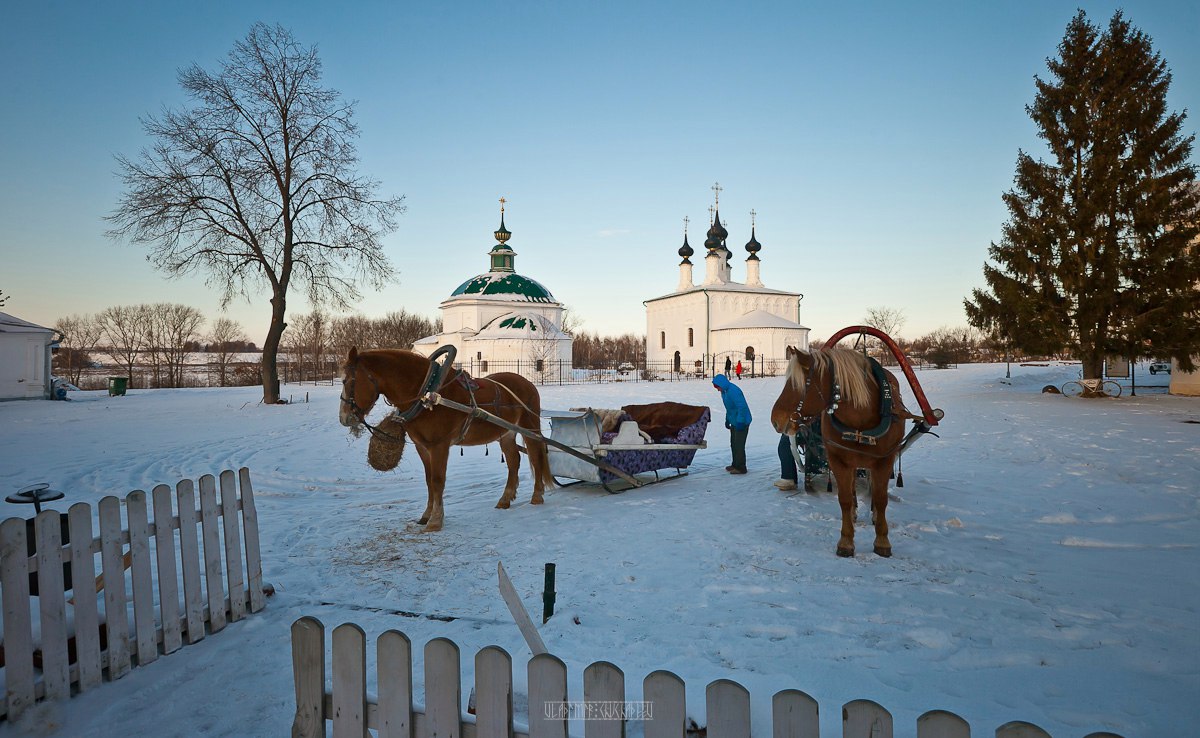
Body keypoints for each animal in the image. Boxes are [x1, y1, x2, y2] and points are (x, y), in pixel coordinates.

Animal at [340, 345, 554, 530]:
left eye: (345, 381)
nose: (344, 418)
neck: (428, 392)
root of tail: (527, 383)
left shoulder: (439, 446)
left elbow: (437, 480)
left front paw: (435, 520)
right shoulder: (422, 446)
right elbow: (429, 480)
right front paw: (426, 515)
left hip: (529, 427)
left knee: (536, 456)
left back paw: (537, 495)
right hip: (506, 434)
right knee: (513, 461)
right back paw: (505, 499)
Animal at [768, 345, 916, 559]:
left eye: (797, 384)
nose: (775, 419)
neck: (860, 420)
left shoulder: (884, 460)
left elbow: (881, 499)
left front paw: (882, 540)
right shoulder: (840, 461)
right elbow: (844, 499)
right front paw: (846, 541)